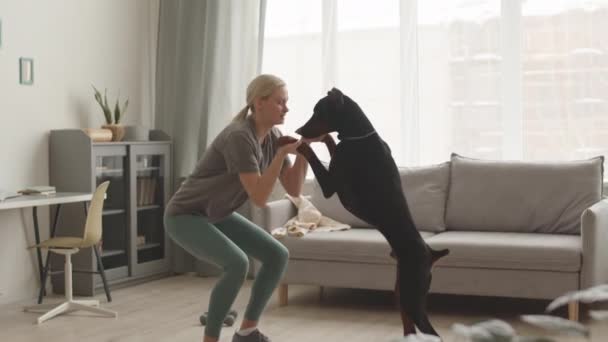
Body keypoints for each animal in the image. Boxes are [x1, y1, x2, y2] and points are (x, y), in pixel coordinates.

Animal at [296, 87, 448, 336]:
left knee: (428, 329)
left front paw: (297, 143)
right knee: (409, 326)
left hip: (411, 293)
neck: (359, 135)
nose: (299, 130)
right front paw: (323, 138)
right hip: (401, 290)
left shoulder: (331, 186)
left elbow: (316, 157)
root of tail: (431, 253)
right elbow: (332, 144)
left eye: (318, 112)